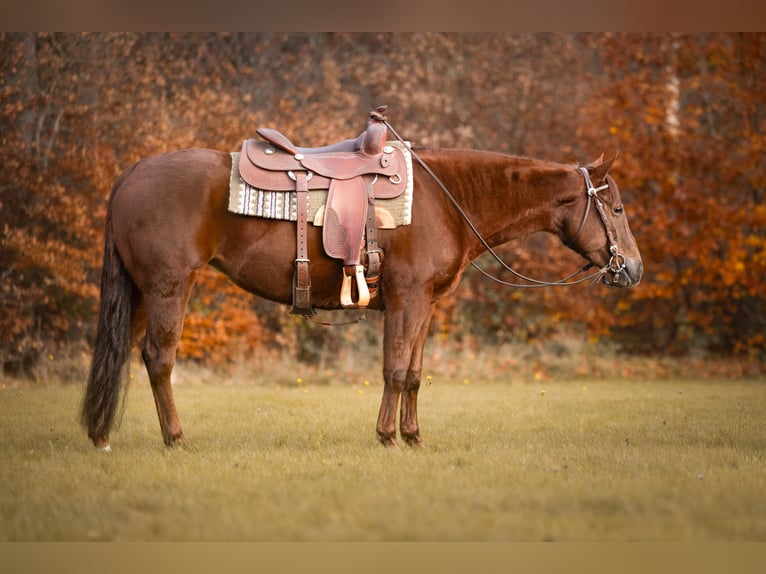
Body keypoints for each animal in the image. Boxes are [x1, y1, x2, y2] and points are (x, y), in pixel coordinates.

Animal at [80, 135, 642, 450]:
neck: (446, 200)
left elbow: (413, 374)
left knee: (123, 355)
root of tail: (129, 177)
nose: (633, 268)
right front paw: (388, 436)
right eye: (616, 208)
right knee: (159, 358)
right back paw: (175, 438)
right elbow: (393, 370)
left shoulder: (425, 305)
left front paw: (414, 437)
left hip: (139, 291)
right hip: (168, 287)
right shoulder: (408, 298)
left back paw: (102, 435)